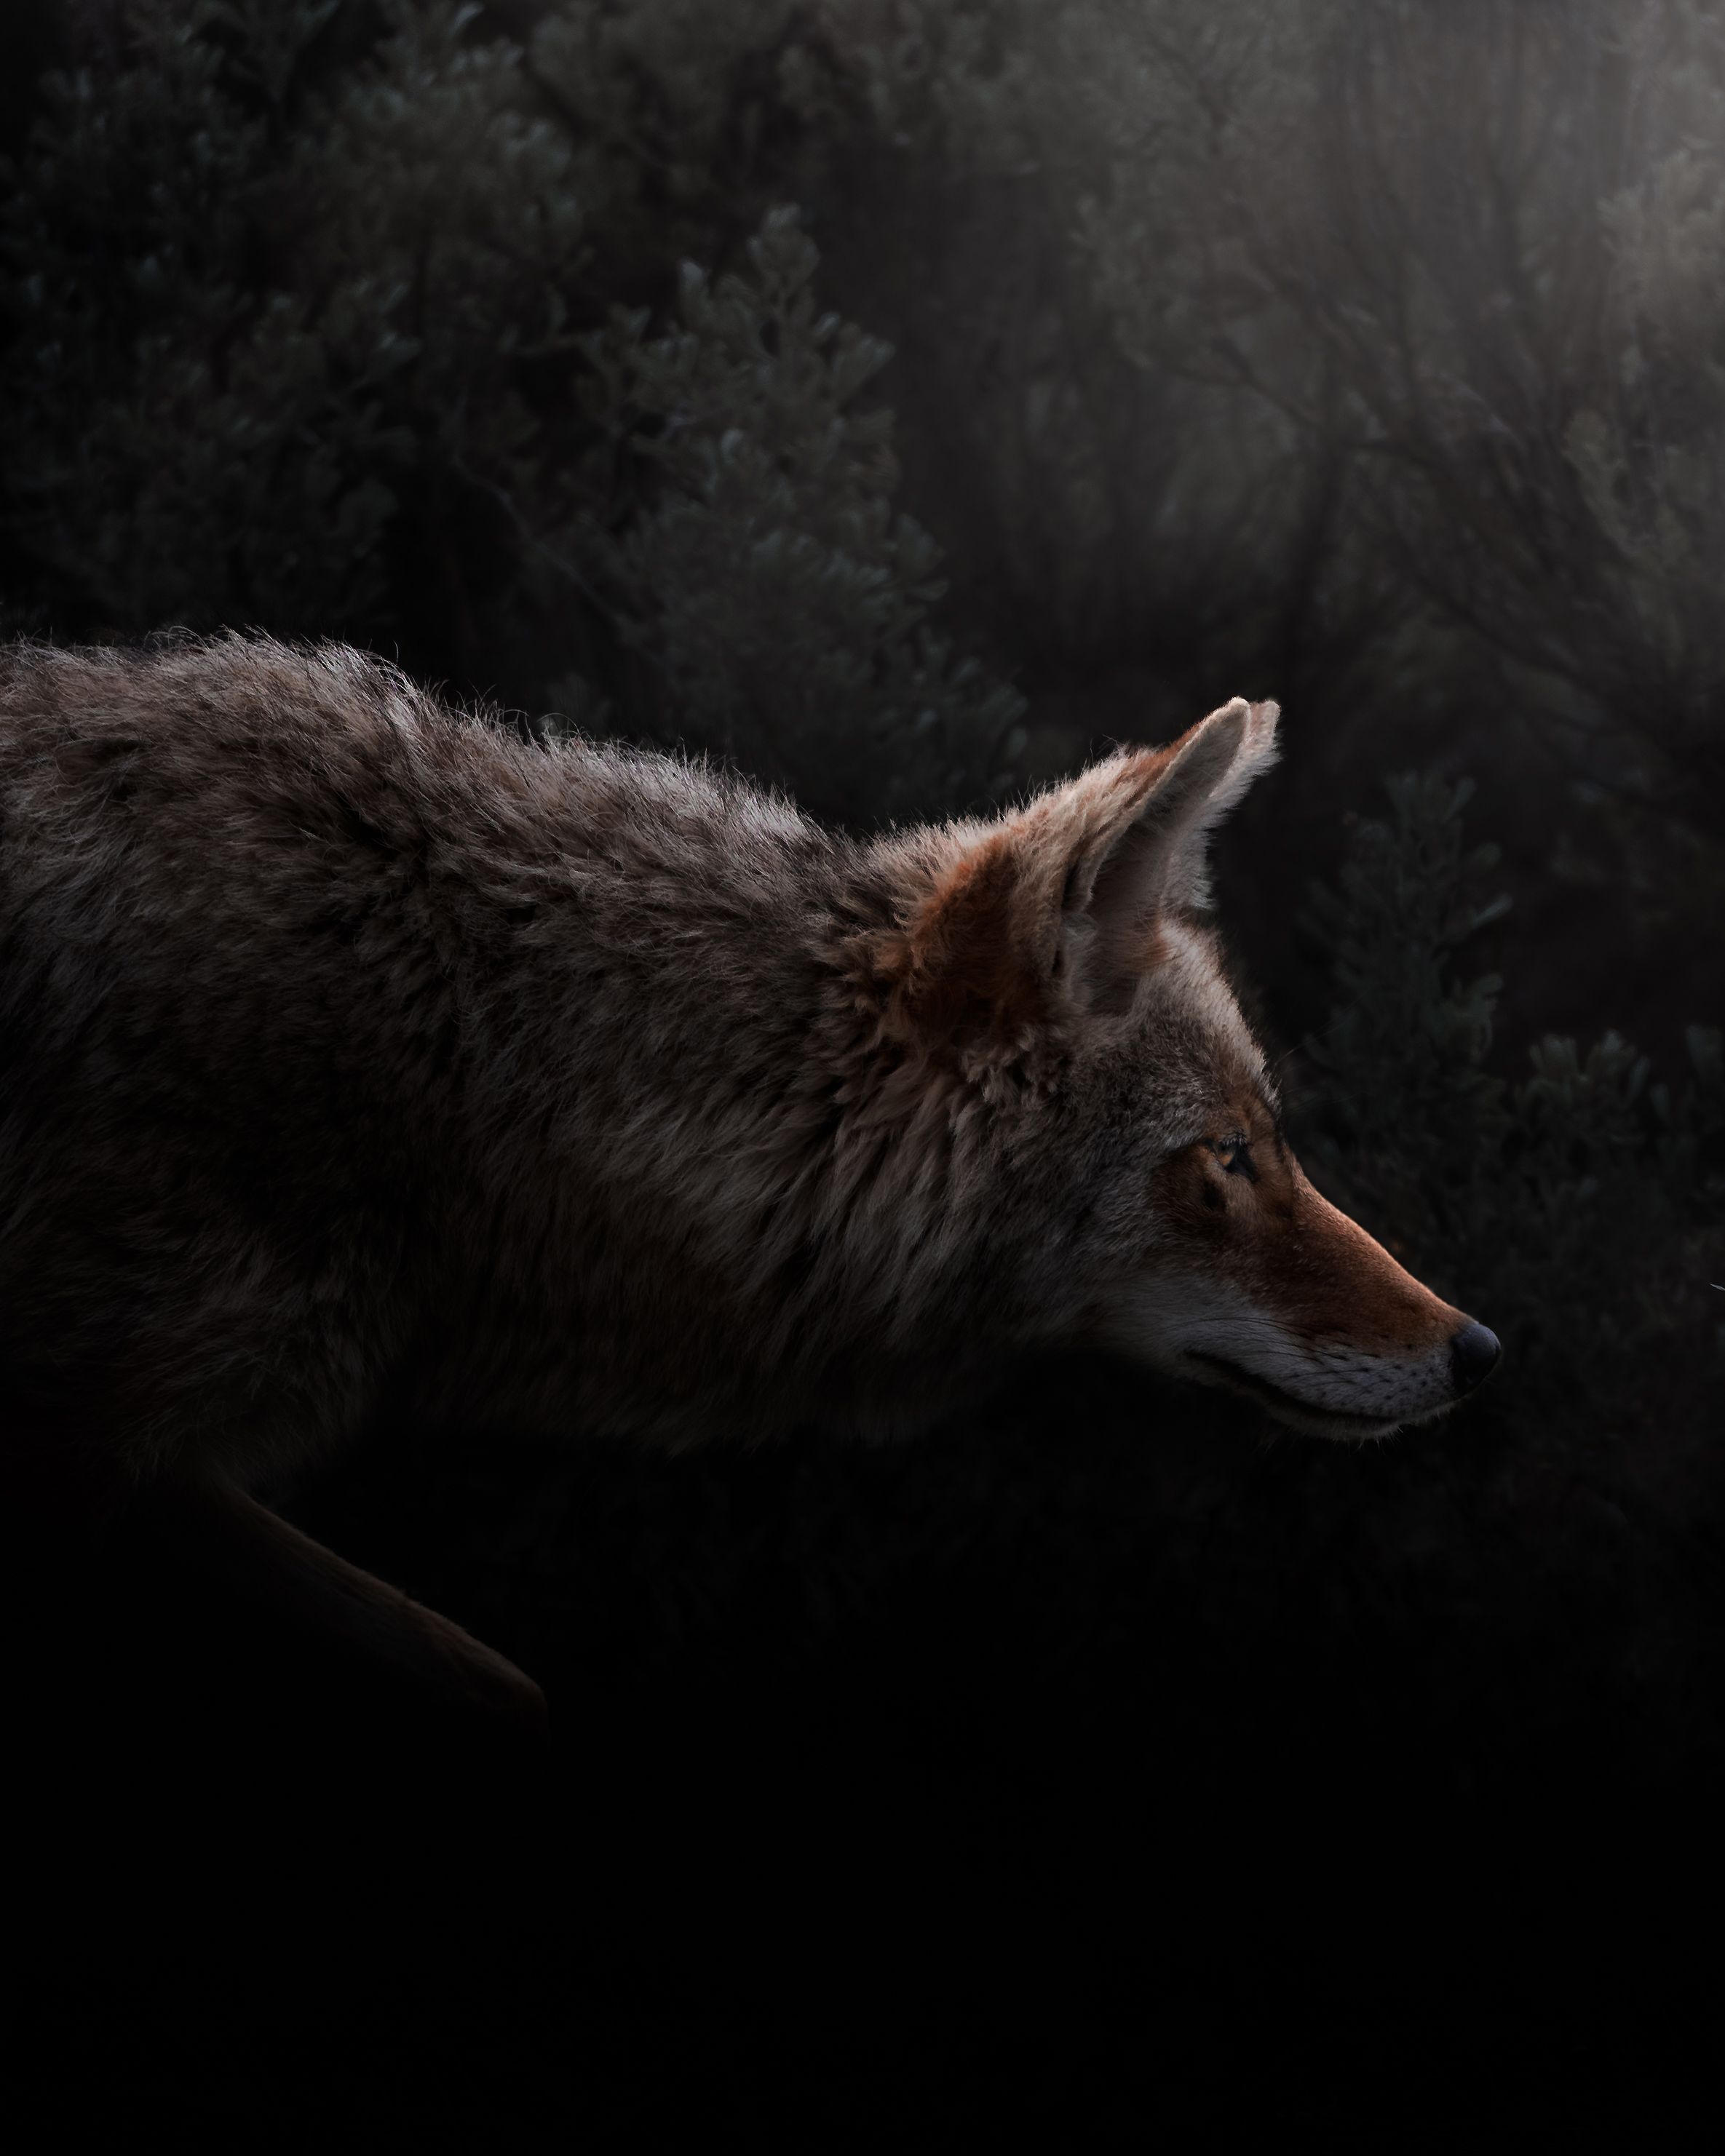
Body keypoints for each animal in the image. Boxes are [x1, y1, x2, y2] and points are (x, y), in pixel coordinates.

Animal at [0, 635, 1498, 1723]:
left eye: (1268, 1138)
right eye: (1228, 1158)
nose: (1479, 1348)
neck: (466, 1045)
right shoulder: (108, 1458)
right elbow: (491, 1674)